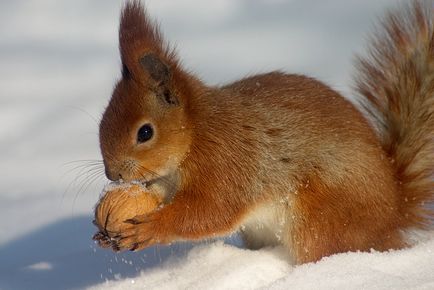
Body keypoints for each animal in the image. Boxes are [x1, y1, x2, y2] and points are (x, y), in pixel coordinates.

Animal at [96, 0, 434, 264]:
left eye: (145, 133)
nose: (113, 174)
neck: (196, 132)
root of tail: (394, 212)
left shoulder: (226, 162)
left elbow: (209, 211)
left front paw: (149, 228)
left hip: (322, 219)